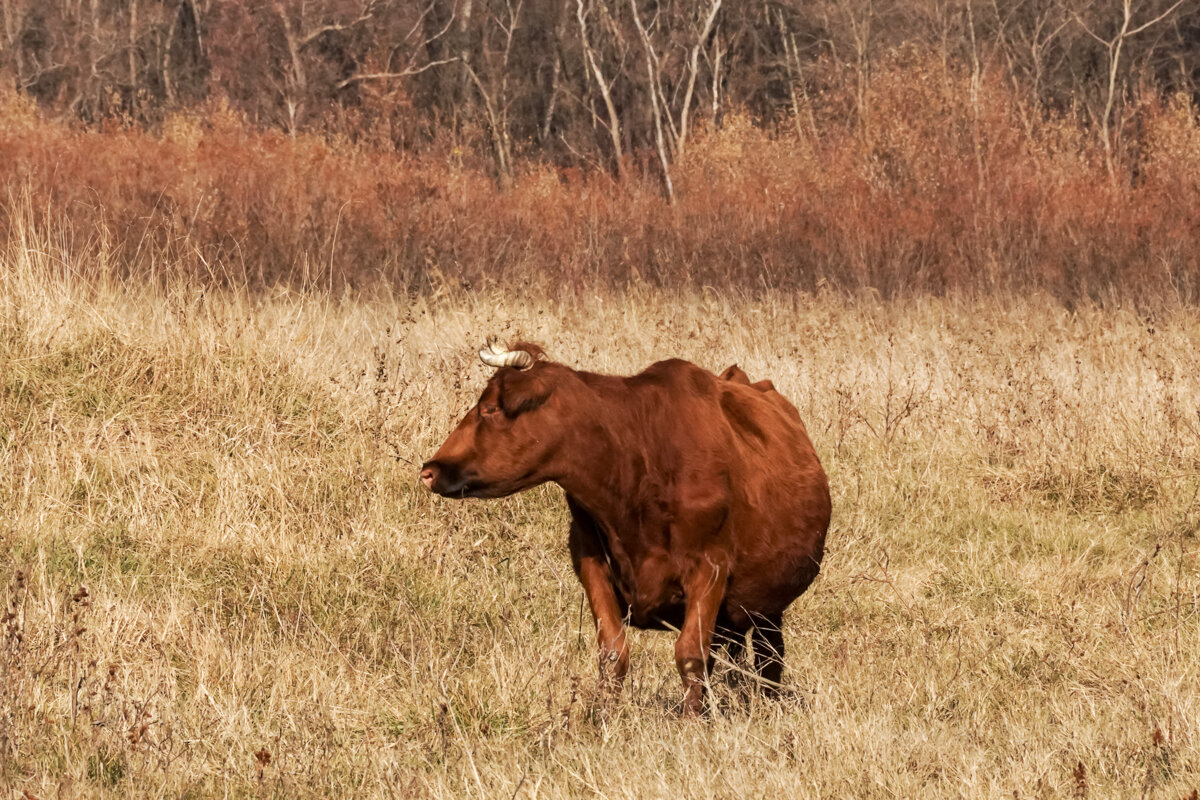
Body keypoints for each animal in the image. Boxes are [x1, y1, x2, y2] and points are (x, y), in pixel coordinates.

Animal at [424, 340, 835, 714]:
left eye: (490, 408)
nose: (430, 470)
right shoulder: (591, 561)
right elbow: (613, 652)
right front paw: (601, 720)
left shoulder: (711, 566)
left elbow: (690, 654)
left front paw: (692, 723)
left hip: (769, 605)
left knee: (768, 658)